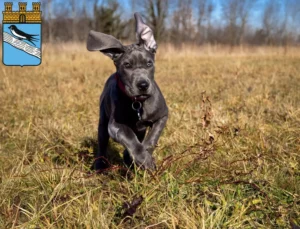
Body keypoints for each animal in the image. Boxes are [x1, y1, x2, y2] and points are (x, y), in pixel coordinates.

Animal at [86, 12, 169, 170]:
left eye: (149, 63)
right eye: (127, 65)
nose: (143, 85)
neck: (138, 103)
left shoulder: (162, 116)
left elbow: (152, 138)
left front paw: (144, 156)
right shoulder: (114, 125)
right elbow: (129, 137)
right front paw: (144, 159)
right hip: (103, 121)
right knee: (102, 144)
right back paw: (100, 165)